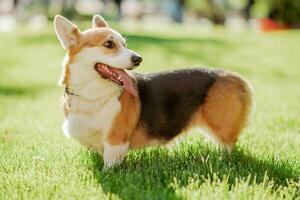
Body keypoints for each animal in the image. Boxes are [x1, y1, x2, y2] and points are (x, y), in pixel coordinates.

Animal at [54, 14, 253, 166]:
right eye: (109, 44)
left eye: (124, 44)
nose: (138, 59)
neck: (92, 95)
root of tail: (237, 77)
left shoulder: (115, 143)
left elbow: (109, 167)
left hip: (222, 127)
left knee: (229, 147)